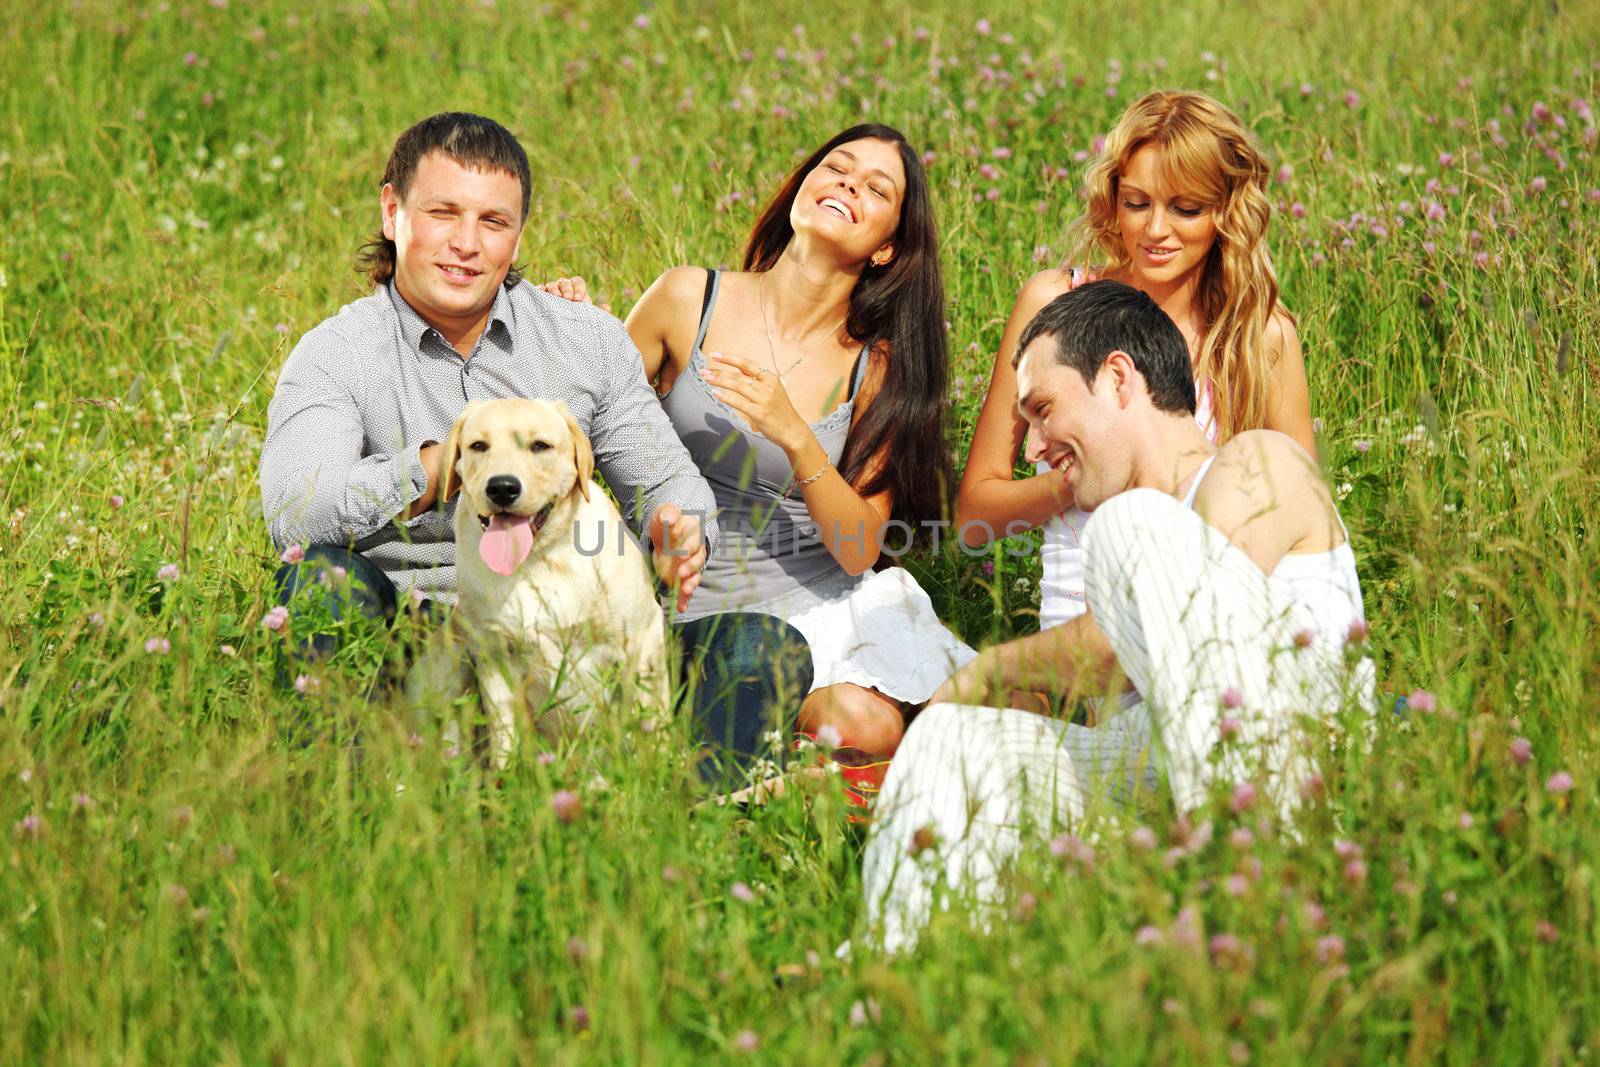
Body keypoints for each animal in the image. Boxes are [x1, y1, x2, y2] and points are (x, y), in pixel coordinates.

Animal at [412, 396, 668, 764]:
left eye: (540, 446)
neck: (537, 561)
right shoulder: (495, 659)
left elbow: (648, 729)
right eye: (478, 446)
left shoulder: (640, 640)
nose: (502, 488)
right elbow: (505, 740)